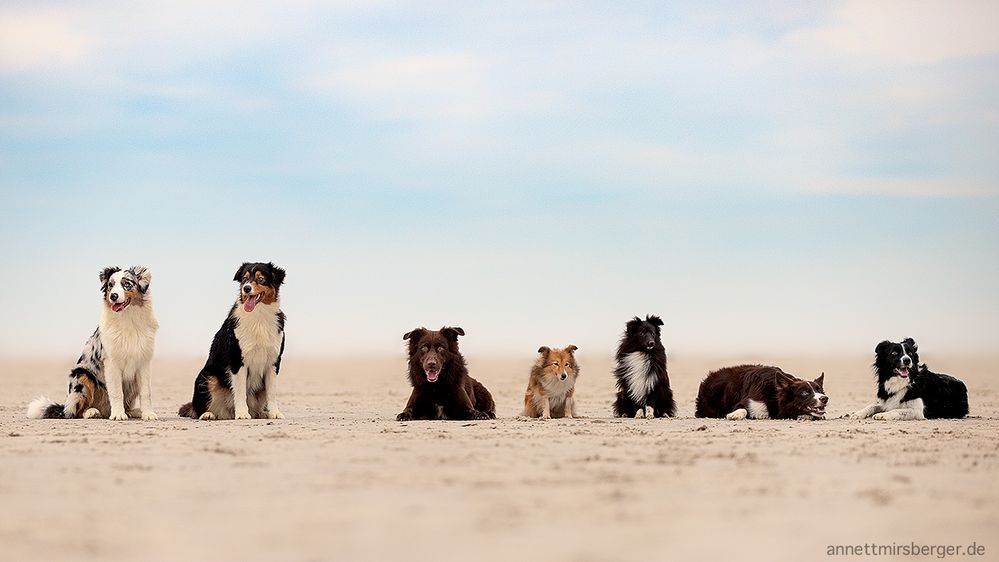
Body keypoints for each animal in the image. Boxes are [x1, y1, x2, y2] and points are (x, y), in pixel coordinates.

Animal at [27, 264, 158, 418]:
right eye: (110, 285)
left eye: (126, 284)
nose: (113, 296)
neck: (128, 319)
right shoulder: (111, 363)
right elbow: (117, 392)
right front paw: (118, 415)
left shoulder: (143, 362)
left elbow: (146, 392)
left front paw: (148, 414)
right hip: (82, 376)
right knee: (77, 411)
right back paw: (92, 412)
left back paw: (133, 411)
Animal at [178, 260, 288, 418]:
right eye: (244, 279)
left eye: (260, 279)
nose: (246, 288)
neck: (259, 316)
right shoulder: (237, 360)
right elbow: (241, 391)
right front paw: (242, 413)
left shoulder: (273, 361)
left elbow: (271, 392)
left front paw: (275, 413)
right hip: (207, 376)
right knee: (198, 407)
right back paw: (208, 414)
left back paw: (262, 413)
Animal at [696, 366, 828, 418]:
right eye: (804, 393)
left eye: (819, 390)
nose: (825, 398)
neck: (773, 396)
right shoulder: (748, 402)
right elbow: (743, 409)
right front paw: (735, 415)